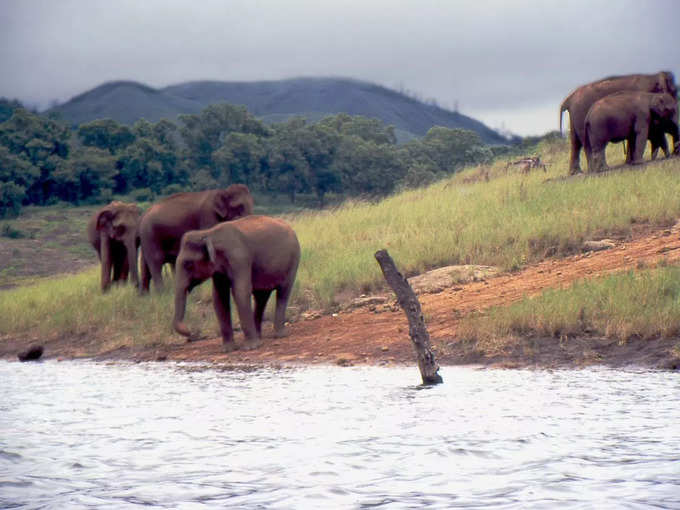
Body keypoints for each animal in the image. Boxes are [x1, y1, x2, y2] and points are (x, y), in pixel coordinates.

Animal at [171, 216, 298, 354]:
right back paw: (259, 337)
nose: (190, 332)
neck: (209, 233)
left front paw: (250, 348)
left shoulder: (239, 259)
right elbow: (219, 298)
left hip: (293, 261)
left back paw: (279, 335)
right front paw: (227, 350)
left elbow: (240, 292)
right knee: (261, 298)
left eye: (188, 264)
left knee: (283, 293)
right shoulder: (218, 270)